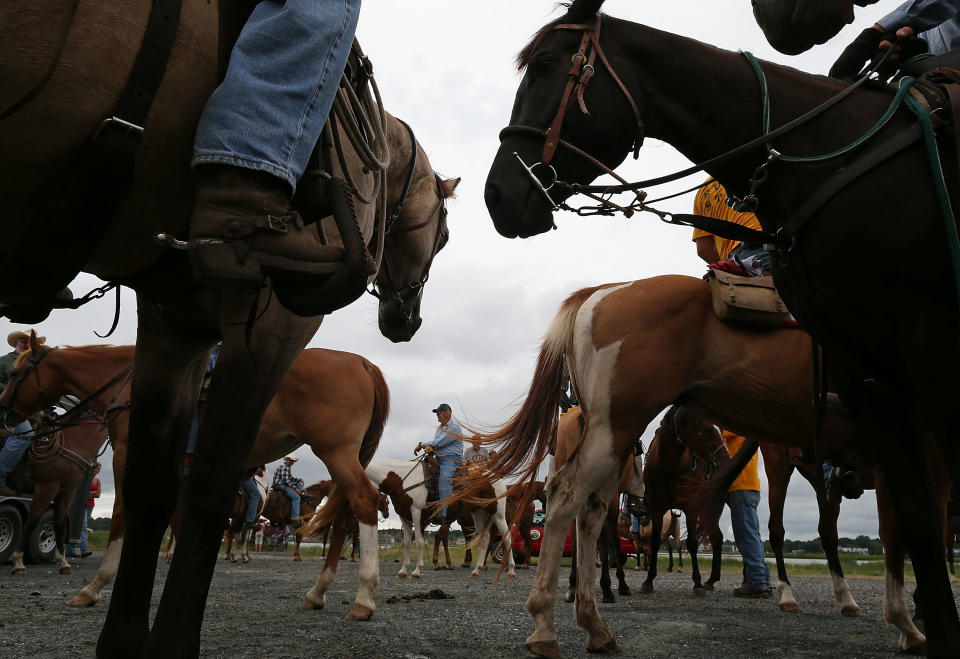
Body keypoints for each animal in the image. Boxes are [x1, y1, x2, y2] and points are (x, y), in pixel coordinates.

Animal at [484, 2, 960, 652]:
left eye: (548, 66)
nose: (499, 195)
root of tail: (598, 294)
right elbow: (914, 529)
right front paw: (914, 622)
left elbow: (903, 530)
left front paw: (907, 620)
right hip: (623, 426)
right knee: (568, 503)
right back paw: (547, 624)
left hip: (618, 429)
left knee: (590, 510)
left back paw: (592, 621)